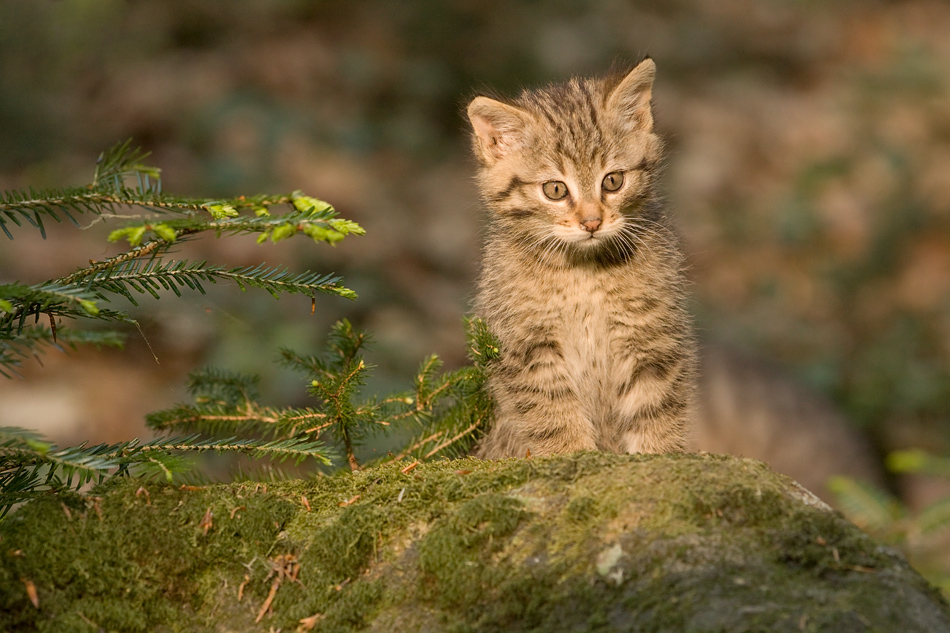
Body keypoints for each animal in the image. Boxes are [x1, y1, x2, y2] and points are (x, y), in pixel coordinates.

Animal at [468, 58, 700, 460]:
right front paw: (572, 453)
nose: (592, 221)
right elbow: (551, 414)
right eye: (555, 189)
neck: (583, 273)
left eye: (613, 181)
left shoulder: (653, 337)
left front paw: (659, 458)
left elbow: (657, 411)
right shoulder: (526, 345)